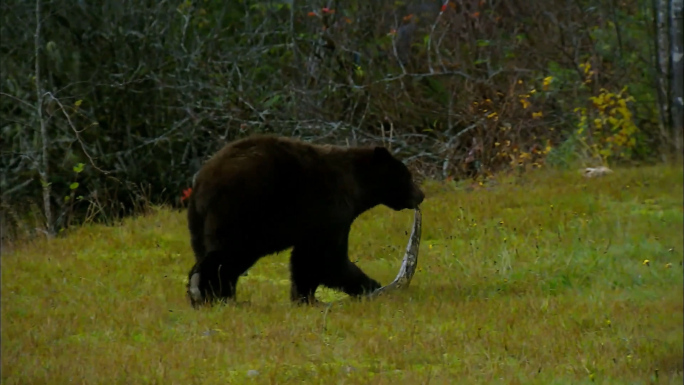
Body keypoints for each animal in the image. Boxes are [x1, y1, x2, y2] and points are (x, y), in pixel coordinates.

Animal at [184, 135, 424, 306]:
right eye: (407, 176)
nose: (421, 195)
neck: (357, 186)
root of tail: (203, 181)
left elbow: (306, 258)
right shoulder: (330, 211)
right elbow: (325, 258)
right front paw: (368, 285)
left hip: (199, 220)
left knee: (210, 252)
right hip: (242, 211)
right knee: (228, 254)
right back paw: (210, 295)